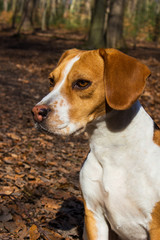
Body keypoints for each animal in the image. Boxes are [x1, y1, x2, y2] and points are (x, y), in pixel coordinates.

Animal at [31, 47, 160, 239]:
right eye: (51, 80)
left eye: (82, 83)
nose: (36, 112)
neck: (111, 149)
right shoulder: (94, 216)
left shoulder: (156, 226)